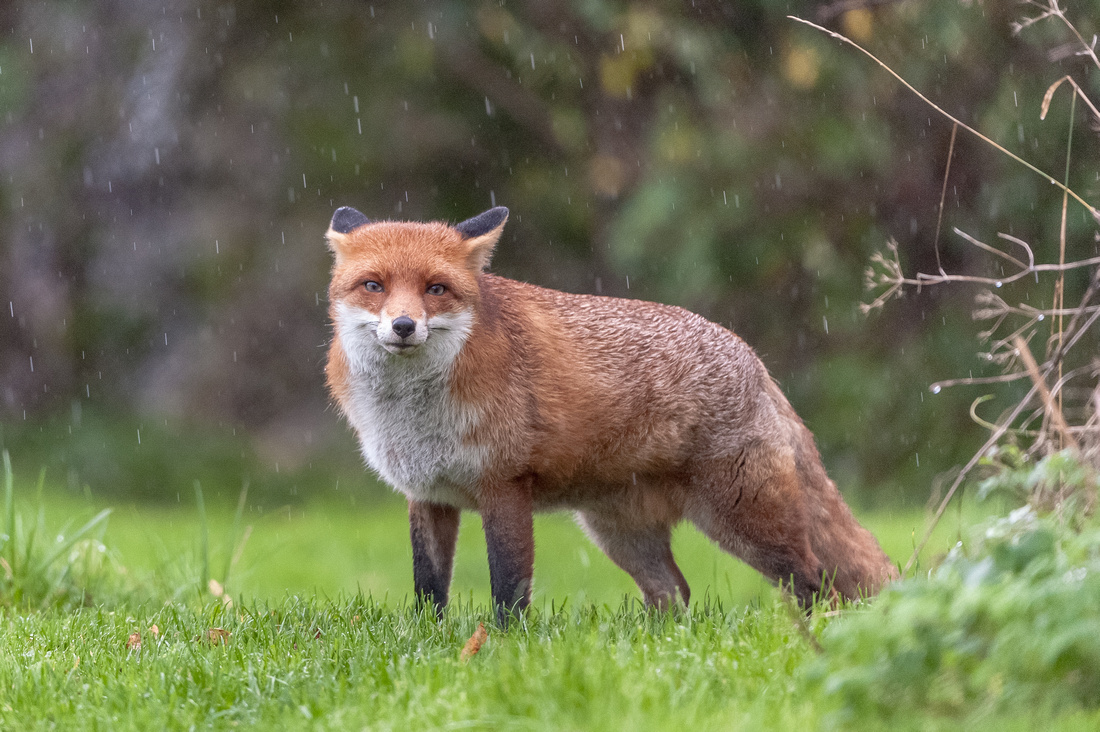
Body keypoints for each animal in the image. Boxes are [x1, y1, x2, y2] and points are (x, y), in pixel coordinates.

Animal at [321, 206, 897, 620]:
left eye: (435, 289)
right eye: (373, 285)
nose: (403, 326)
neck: (414, 414)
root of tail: (753, 359)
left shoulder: (504, 487)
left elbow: (509, 589)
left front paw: (502, 648)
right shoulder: (428, 494)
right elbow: (429, 588)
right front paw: (433, 640)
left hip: (746, 520)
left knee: (815, 577)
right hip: (620, 533)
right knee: (675, 591)